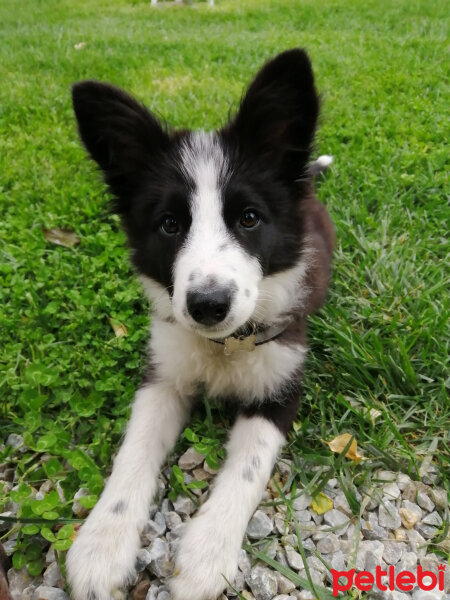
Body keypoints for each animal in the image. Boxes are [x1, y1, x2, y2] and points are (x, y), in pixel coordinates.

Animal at [67, 48, 334, 600]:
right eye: (170, 224)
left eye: (249, 217)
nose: (208, 305)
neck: (223, 346)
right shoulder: (162, 374)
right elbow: (133, 451)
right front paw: (101, 545)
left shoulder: (282, 383)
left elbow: (248, 468)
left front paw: (206, 556)